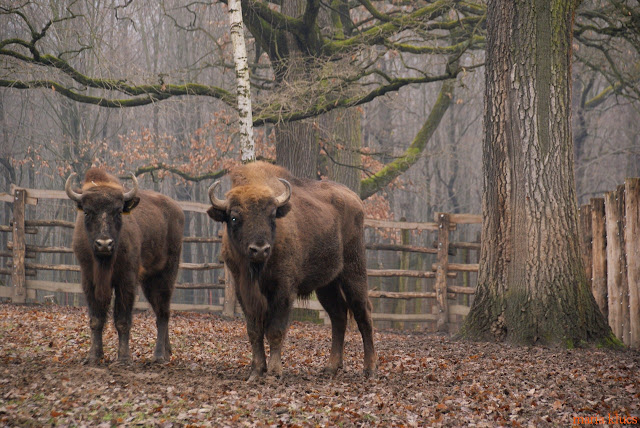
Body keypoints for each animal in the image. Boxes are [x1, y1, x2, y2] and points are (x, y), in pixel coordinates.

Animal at [65, 167, 185, 364]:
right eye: (87, 212)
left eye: (118, 212)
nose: (104, 244)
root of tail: (177, 210)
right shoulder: (89, 280)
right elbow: (96, 319)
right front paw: (93, 357)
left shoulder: (126, 280)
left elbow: (122, 320)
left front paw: (123, 358)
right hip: (148, 282)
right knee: (159, 310)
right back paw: (167, 352)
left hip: (166, 275)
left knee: (163, 313)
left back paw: (159, 356)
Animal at [205, 162, 376, 380]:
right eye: (234, 217)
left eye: (272, 215)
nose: (259, 249)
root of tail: (355, 199)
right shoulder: (243, 291)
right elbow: (254, 330)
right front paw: (256, 371)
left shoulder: (284, 290)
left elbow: (275, 330)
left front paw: (274, 372)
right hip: (327, 285)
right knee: (338, 317)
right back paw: (330, 367)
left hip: (353, 272)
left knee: (363, 313)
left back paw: (369, 369)